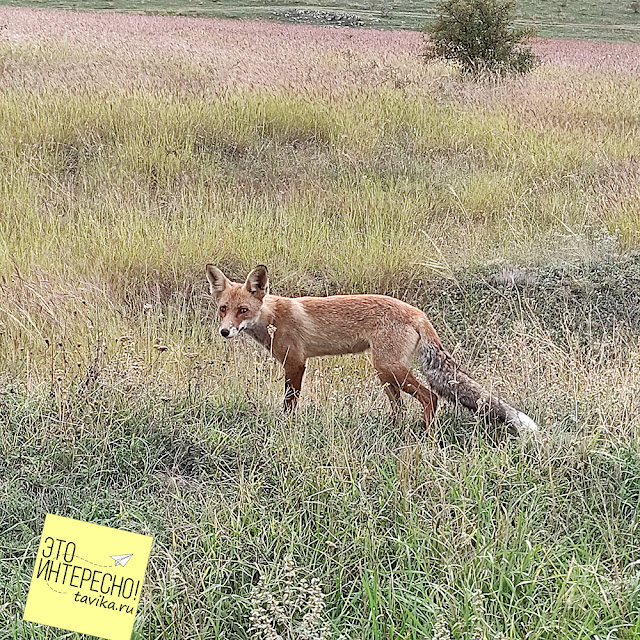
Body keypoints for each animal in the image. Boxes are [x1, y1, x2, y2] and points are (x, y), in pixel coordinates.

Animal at [208, 264, 536, 436]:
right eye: (223, 309)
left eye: (242, 310)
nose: (225, 331)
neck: (273, 317)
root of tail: (417, 312)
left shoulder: (296, 364)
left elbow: (289, 404)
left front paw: (286, 427)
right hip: (385, 373)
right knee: (400, 406)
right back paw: (394, 430)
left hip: (391, 368)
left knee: (430, 397)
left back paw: (426, 435)